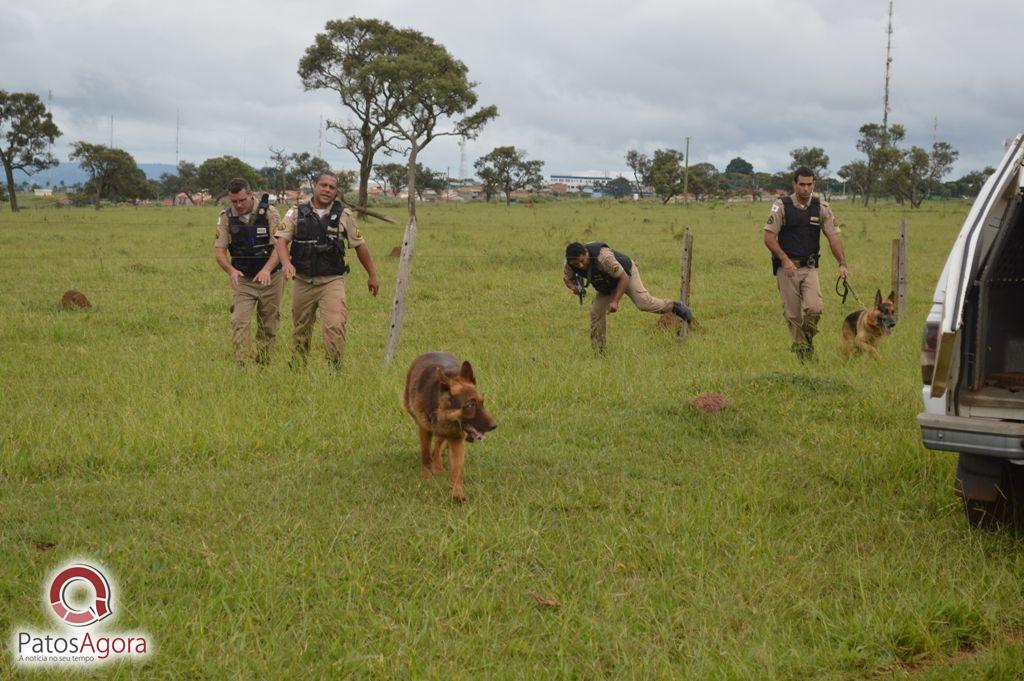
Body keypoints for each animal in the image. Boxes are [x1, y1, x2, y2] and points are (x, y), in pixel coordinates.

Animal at [401, 352, 497, 501]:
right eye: (470, 405)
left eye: (482, 402)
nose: (494, 426)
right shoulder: (424, 430)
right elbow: (425, 455)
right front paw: (426, 478)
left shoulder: (456, 439)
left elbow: (456, 470)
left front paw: (457, 493)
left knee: (438, 444)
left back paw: (438, 465)